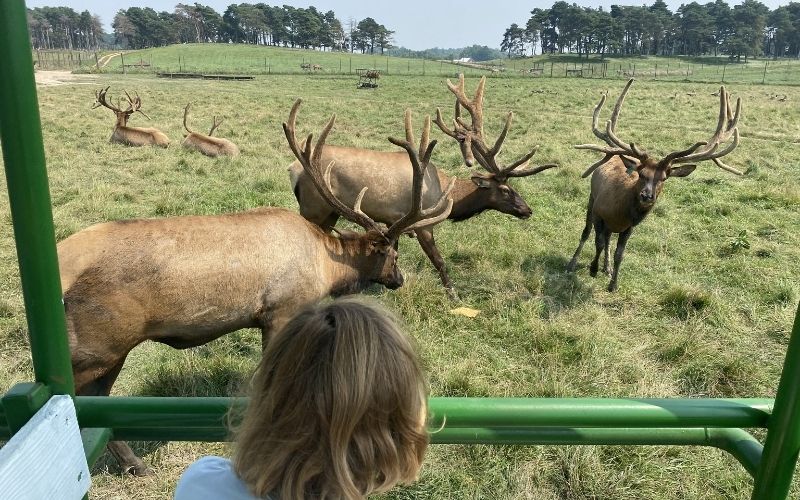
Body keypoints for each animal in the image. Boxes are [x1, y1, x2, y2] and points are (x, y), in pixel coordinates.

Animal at [57, 98, 452, 476]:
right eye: (393, 255)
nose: (398, 280)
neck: (327, 267)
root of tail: (62, 262)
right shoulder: (281, 310)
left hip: (109, 351)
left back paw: (133, 463)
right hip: (99, 345)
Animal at [289, 75, 556, 300]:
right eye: (505, 190)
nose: (527, 210)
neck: (446, 192)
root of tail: (293, 170)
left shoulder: (391, 221)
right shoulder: (422, 224)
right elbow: (439, 260)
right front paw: (453, 294)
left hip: (331, 212)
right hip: (314, 207)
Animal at [566, 79, 742, 292]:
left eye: (664, 178)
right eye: (641, 174)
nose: (646, 196)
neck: (620, 211)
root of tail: (614, 155)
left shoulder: (629, 227)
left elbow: (619, 254)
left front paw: (613, 283)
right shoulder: (599, 212)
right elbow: (596, 241)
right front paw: (592, 269)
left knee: (607, 238)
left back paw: (606, 268)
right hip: (591, 200)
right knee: (587, 233)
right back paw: (573, 263)